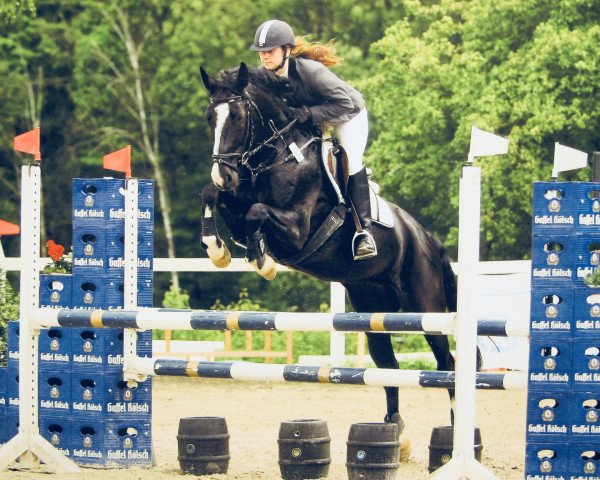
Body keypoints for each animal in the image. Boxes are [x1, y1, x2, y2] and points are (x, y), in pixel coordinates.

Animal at [200, 62, 460, 450]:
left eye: (239, 116)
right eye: (209, 118)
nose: (224, 174)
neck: (278, 156)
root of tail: (428, 239)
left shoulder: (297, 231)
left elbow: (257, 213)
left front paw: (263, 261)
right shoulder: (235, 198)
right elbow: (214, 197)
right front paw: (218, 249)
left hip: (426, 308)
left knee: (447, 362)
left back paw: (457, 432)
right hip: (373, 312)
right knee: (390, 365)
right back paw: (394, 430)